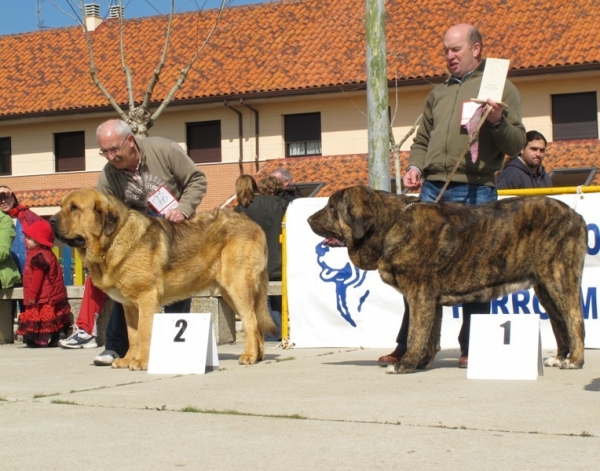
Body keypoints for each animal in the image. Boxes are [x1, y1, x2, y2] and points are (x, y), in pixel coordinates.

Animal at [310, 186, 584, 374]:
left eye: (332, 207)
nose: (309, 219)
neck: (391, 224)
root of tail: (575, 216)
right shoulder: (431, 299)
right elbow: (430, 335)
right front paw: (421, 362)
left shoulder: (420, 294)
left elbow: (416, 333)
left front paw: (405, 364)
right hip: (544, 287)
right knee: (559, 322)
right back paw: (560, 357)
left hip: (559, 277)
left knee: (574, 319)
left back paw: (575, 360)